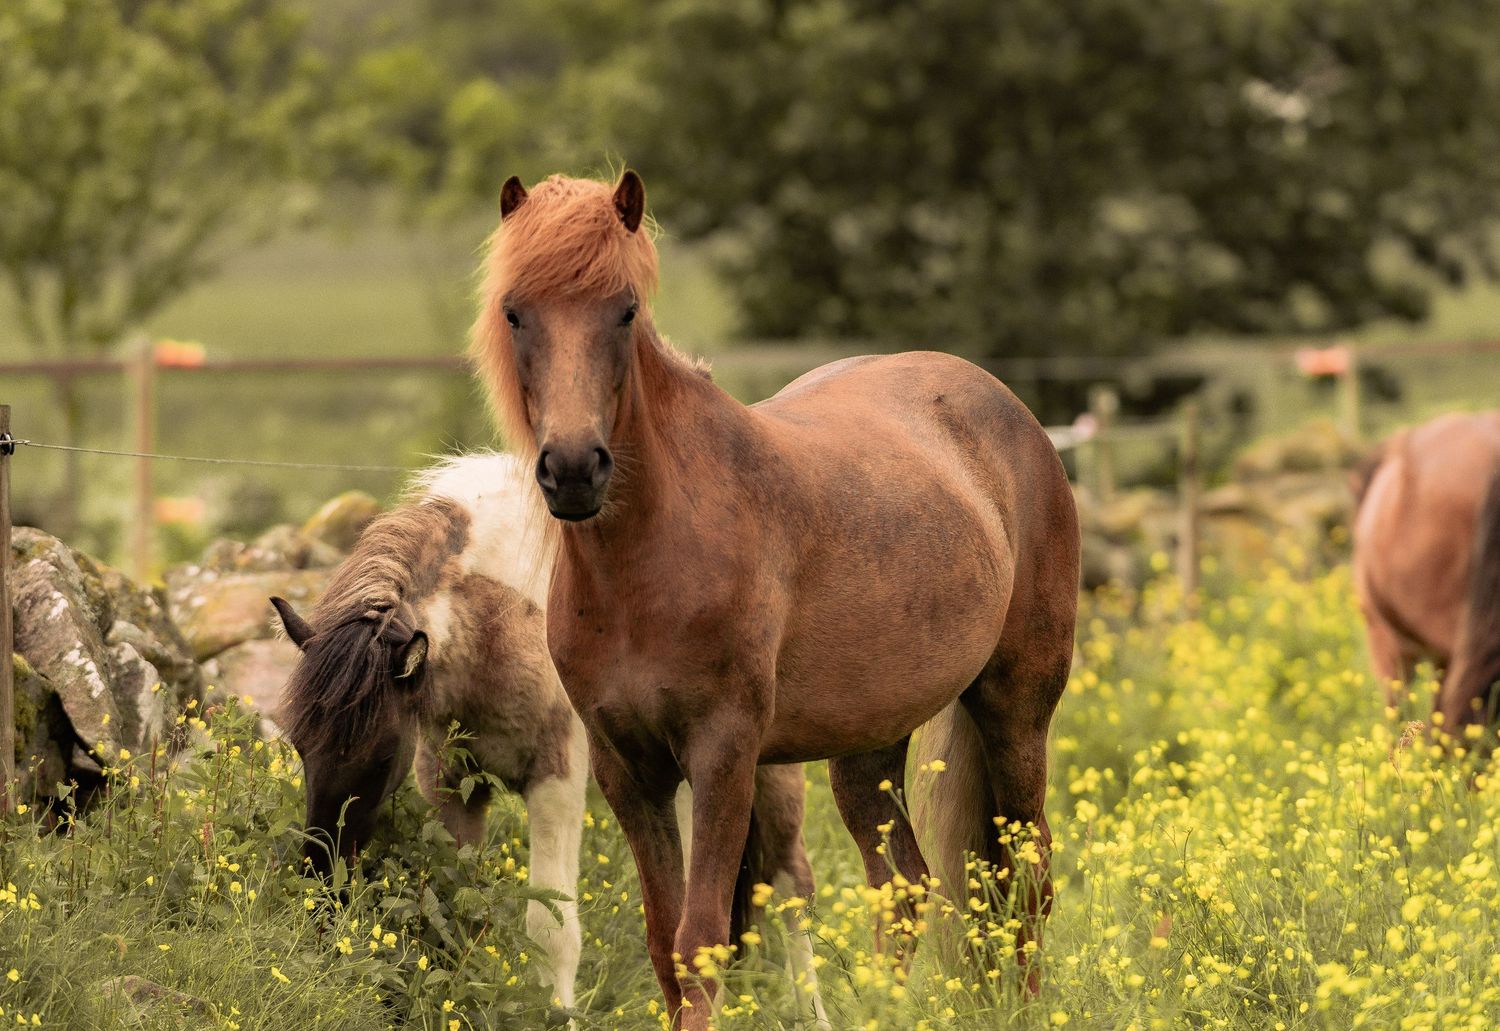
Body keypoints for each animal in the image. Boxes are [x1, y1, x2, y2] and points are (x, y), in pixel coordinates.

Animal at [271, 452, 587, 1009]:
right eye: (300, 747)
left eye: (380, 759)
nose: (324, 892)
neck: (506, 614)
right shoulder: (452, 784)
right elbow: (460, 908)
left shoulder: (558, 785)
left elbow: (553, 933)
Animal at [469, 171, 1080, 1027]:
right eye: (514, 311)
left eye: (625, 309)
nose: (573, 468)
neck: (649, 563)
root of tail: (1011, 414)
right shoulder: (629, 770)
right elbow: (666, 941)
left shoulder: (724, 753)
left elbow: (700, 937)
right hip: (867, 745)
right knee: (905, 887)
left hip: (1016, 706)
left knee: (1026, 875)